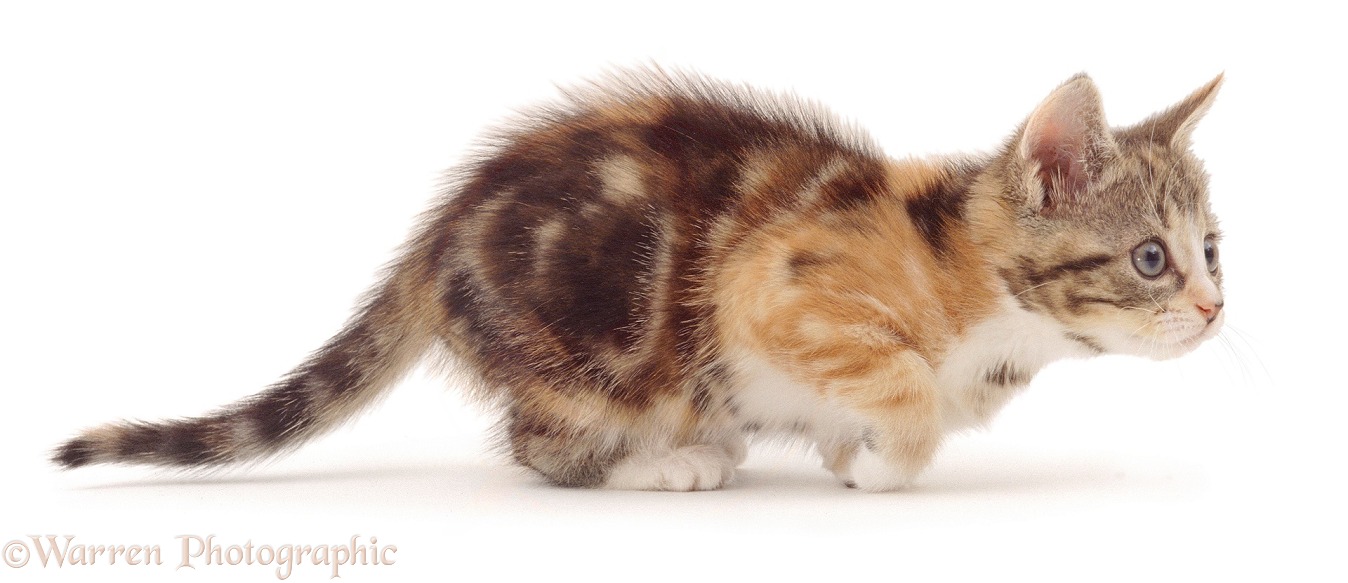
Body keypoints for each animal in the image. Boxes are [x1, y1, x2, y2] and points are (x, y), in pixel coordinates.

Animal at [52, 69, 1229, 491]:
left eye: (1214, 249)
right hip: (600, 353)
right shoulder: (769, 287)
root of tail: (436, 242)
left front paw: (848, 450)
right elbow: (898, 386)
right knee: (544, 445)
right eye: (1150, 257)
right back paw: (668, 461)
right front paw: (882, 460)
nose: (1216, 309)